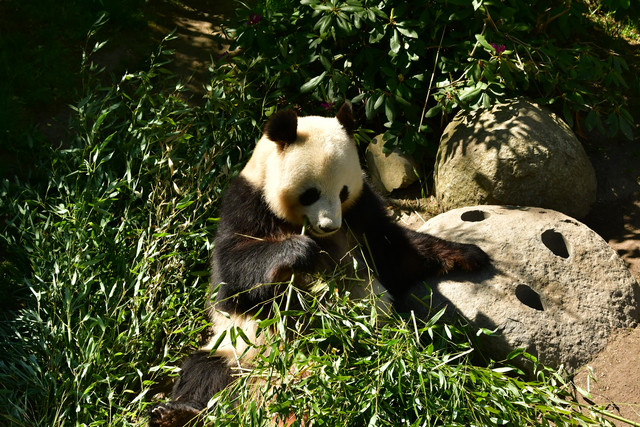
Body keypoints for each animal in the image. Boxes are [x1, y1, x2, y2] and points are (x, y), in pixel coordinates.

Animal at [149, 103, 489, 426]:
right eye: (310, 194)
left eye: (343, 191)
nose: (329, 225)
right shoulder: (246, 204)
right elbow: (232, 279)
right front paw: (298, 253)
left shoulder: (362, 212)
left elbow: (396, 254)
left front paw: (471, 254)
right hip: (239, 351)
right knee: (204, 370)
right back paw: (176, 413)